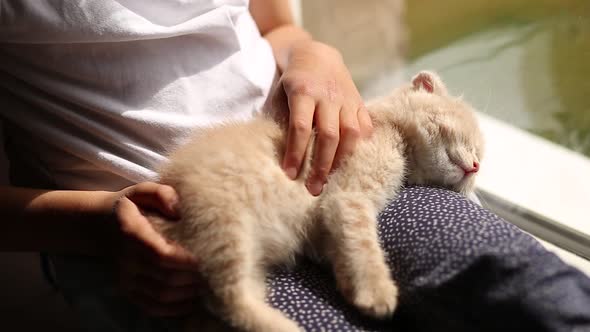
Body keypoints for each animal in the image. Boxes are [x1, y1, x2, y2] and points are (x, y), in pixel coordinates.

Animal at [151, 71, 486, 330]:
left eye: (478, 158)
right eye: (471, 142)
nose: (475, 166)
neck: (390, 130)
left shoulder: (329, 222)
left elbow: (342, 244)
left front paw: (352, 286)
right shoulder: (347, 195)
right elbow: (363, 241)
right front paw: (377, 291)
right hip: (222, 224)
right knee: (227, 299)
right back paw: (284, 327)